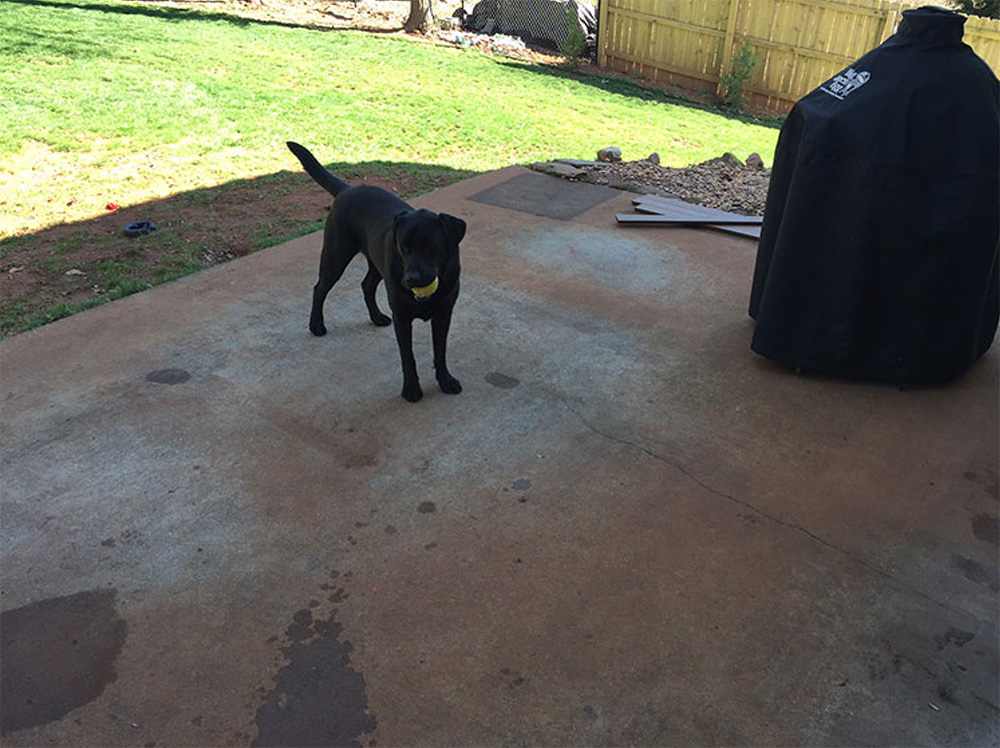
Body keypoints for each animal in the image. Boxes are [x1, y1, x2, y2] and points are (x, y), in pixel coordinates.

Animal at [286, 139, 464, 398]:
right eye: (404, 246)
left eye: (432, 246)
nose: (411, 279)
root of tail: (347, 189)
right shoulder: (402, 317)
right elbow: (408, 356)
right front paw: (411, 389)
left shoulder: (443, 314)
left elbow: (440, 352)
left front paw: (446, 380)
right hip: (336, 255)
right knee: (319, 288)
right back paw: (316, 324)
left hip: (376, 265)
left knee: (366, 285)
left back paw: (376, 316)